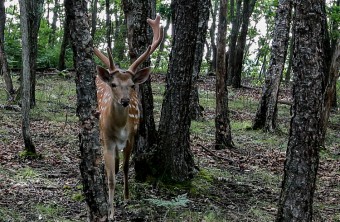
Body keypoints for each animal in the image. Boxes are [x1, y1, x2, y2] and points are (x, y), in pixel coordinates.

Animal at [92, 15, 163, 219]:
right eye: (114, 84)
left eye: (131, 85)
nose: (125, 101)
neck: (119, 128)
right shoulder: (107, 139)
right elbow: (110, 179)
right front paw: (110, 213)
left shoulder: (132, 136)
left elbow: (124, 167)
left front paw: (126, 196)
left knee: (119, 163)